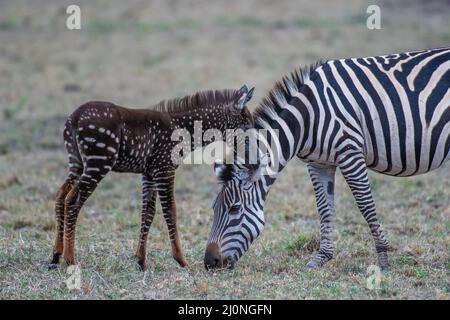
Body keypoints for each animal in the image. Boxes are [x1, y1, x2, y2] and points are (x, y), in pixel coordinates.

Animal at [51, 85, 255, 270]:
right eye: (247, 126)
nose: (253, 156)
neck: (184, 129)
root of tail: (74, 118)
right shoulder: (165, 169)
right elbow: (170, 211)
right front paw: (181, 260)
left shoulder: (149, 173)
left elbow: (147, 212)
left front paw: (141, 260)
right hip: (98, 163)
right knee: (72, 201)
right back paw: (70, 260)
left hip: (77, 163)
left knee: (61, 196)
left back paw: (55, 256)